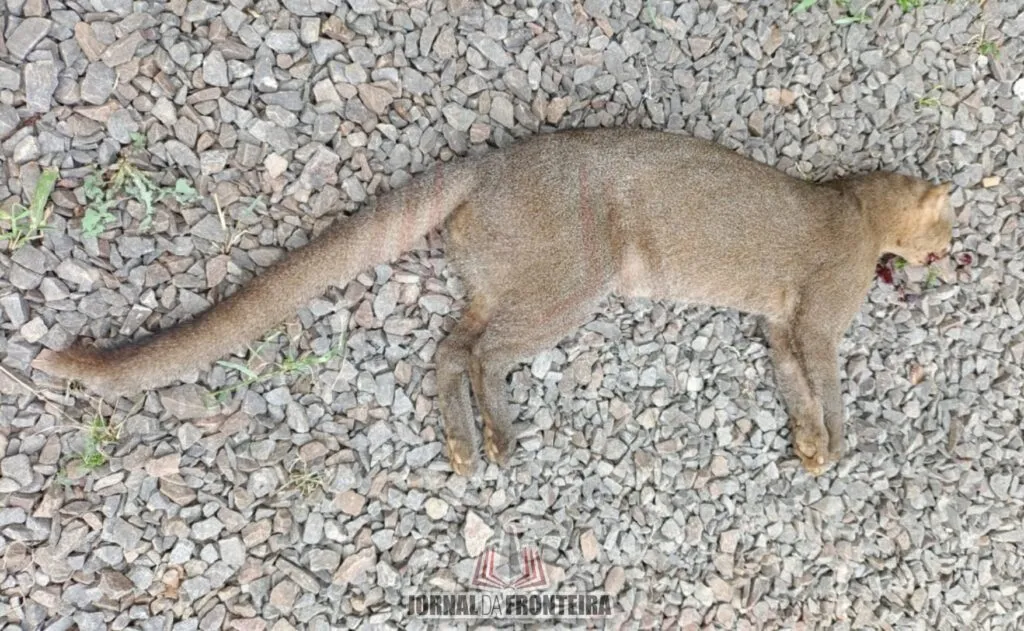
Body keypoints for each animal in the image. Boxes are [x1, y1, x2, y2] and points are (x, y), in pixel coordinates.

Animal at [34, 128, 958, 473]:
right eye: (945, 232)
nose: (951, 257)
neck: (851, 206)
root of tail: (491, 161)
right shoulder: (814, 319)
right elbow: (828, 383)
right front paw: (834, 439)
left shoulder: (776, 325)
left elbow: (797, 386)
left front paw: (809, 443)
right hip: (572, 286)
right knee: (476, 351)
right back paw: (499, 436)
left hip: (501, 284)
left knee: (449, 346)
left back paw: (465, 441)